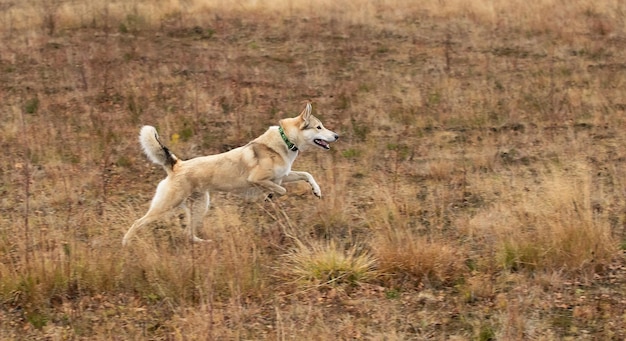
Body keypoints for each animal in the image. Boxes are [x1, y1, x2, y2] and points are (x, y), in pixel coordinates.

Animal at [121, 102, 336, 246]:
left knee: (189, 234)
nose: (337, 136)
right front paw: (269, 196)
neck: (285, 140)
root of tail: (176, 165)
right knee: (138, 222)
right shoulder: (259, 179)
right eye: (319, 127)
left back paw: (203, 243)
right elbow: (281, 190)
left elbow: (307, 175)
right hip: (166, 206)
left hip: (200, 205)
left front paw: (316, 191)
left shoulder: (284, 175)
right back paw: (126, 243)